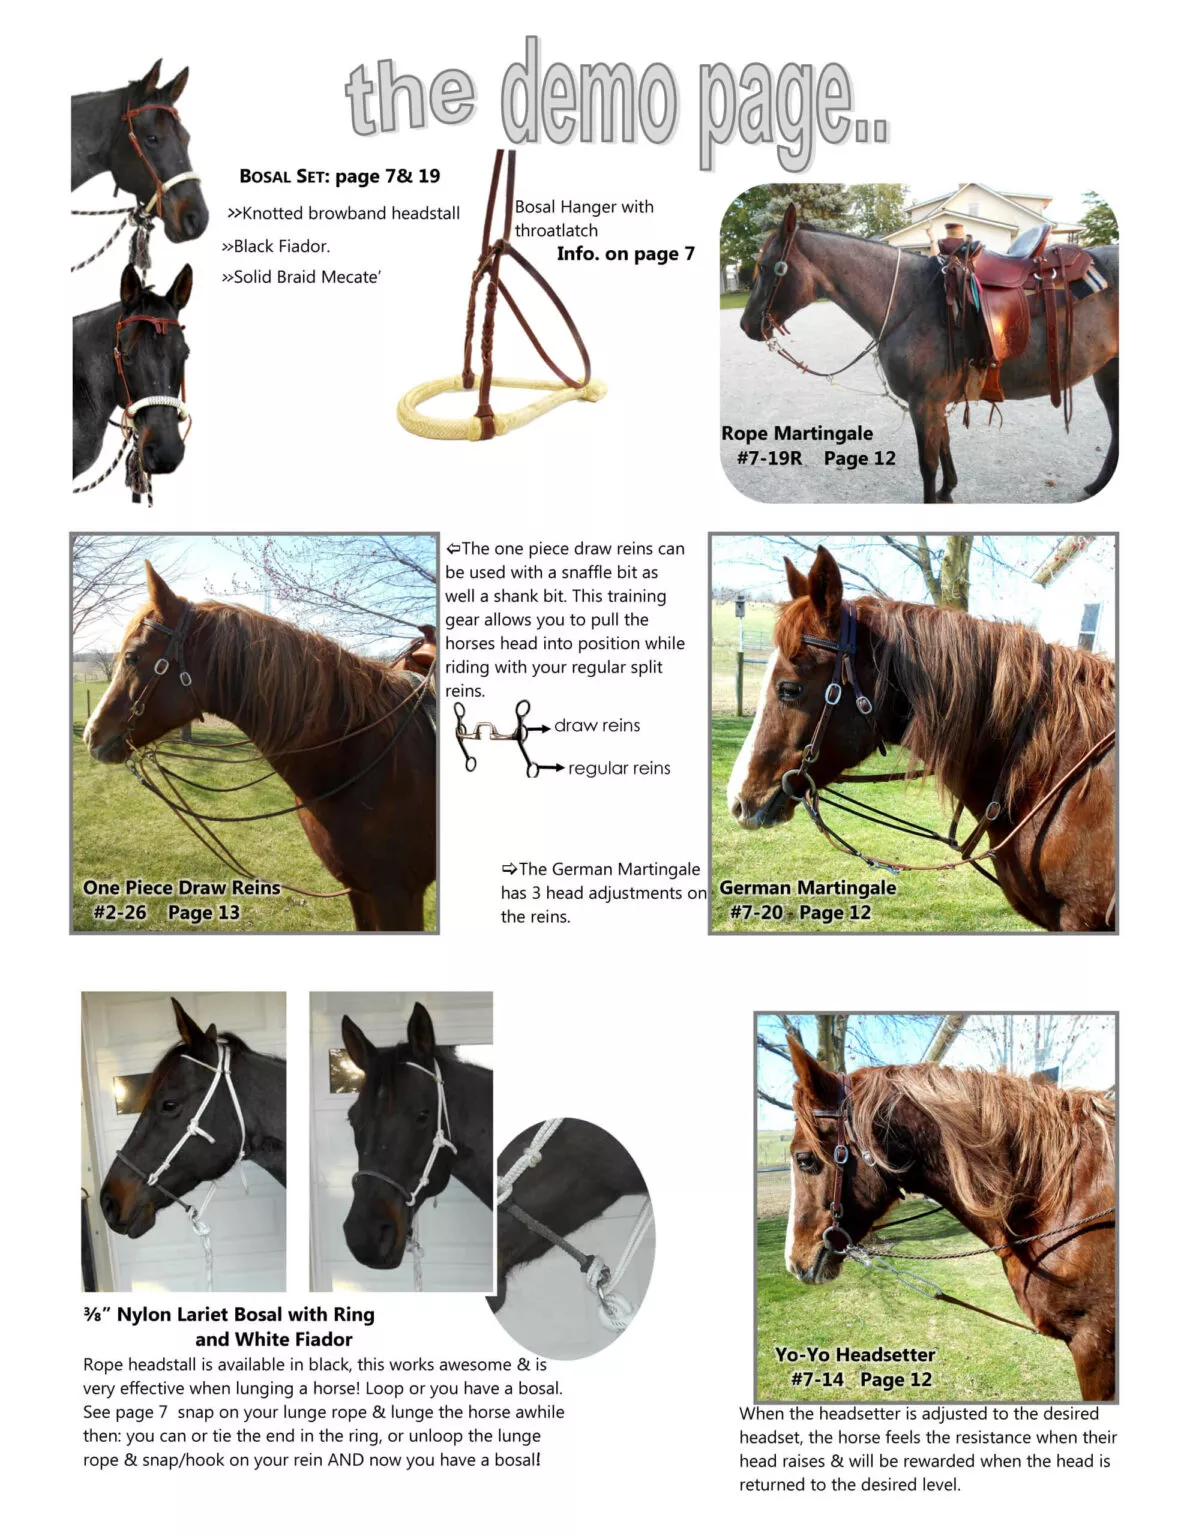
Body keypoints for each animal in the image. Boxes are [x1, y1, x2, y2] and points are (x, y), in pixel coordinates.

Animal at [739, 205, 1119, 502]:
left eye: (767, 265)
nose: (746, 325)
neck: (908, 299)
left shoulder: (924, 402)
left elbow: (928, 463)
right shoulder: (936, 401)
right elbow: (945, 446)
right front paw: (947, 491)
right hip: (1108, 371)